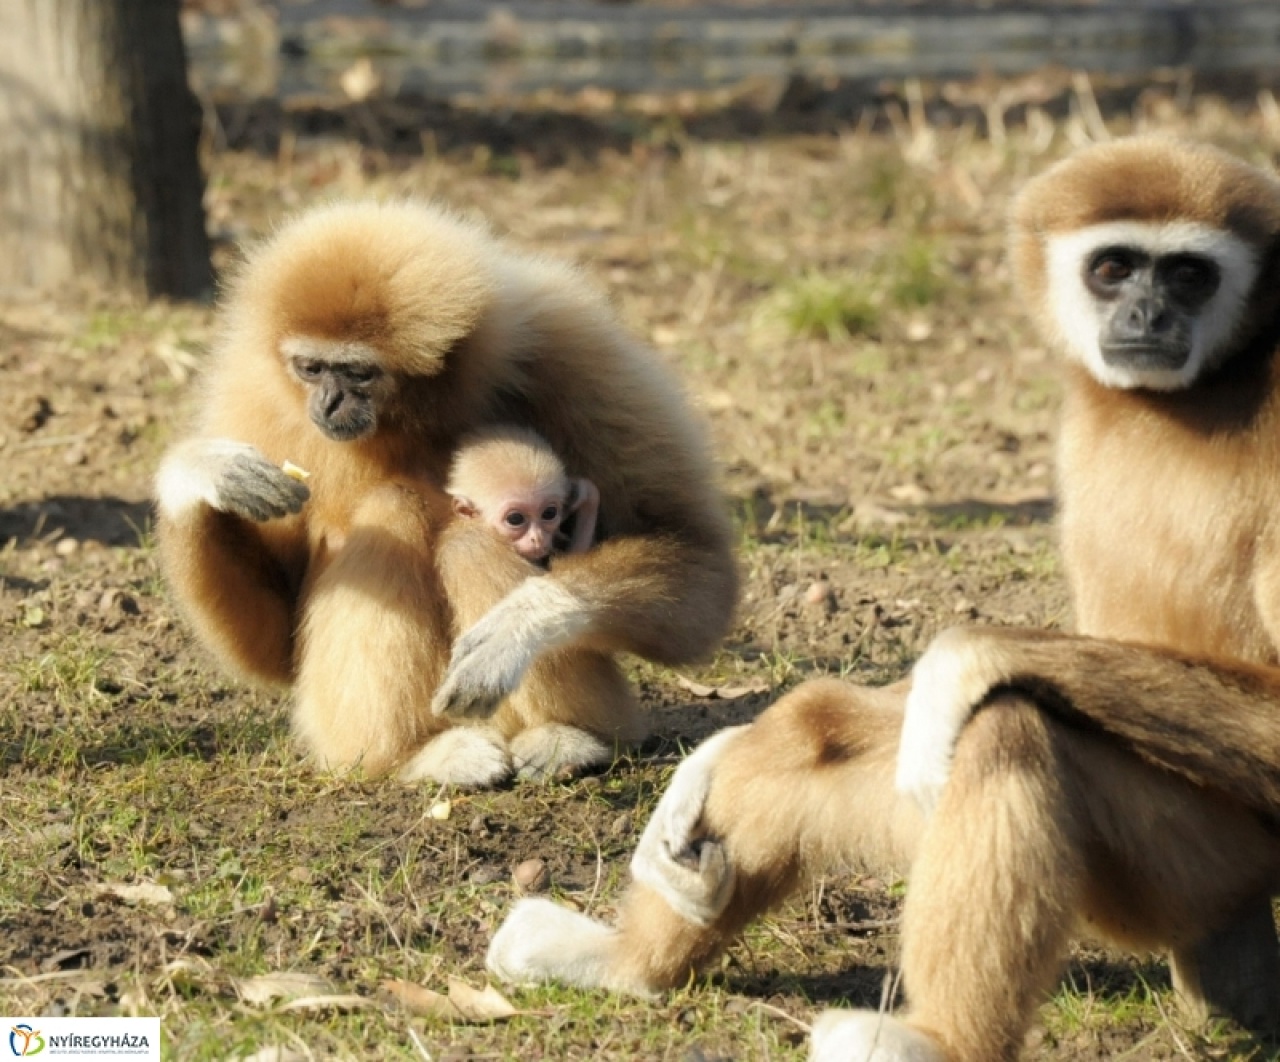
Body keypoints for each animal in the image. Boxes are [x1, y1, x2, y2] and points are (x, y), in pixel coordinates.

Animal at [481, 138, 1280, 1056]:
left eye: (1189, 275)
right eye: (1115, 268)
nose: (1149, 315)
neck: (1216, 383)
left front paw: (964, 654)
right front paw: (715, 755)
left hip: (1203, 859)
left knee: (1005, 727)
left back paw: (935, 1039)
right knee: (833, 734)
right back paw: (627, 964)